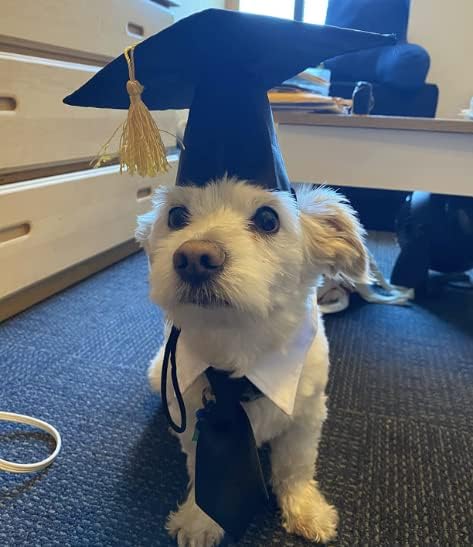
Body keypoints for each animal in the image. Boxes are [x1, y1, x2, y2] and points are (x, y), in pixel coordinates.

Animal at [137, 178, 368, 544]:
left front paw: (305, 509)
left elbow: (295, 467)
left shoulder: (306, 418)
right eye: (175, 216)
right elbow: (201, 470)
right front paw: (200, 521)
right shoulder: (197, 426)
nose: (194, 257)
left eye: (268, 219)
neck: (239, 345)